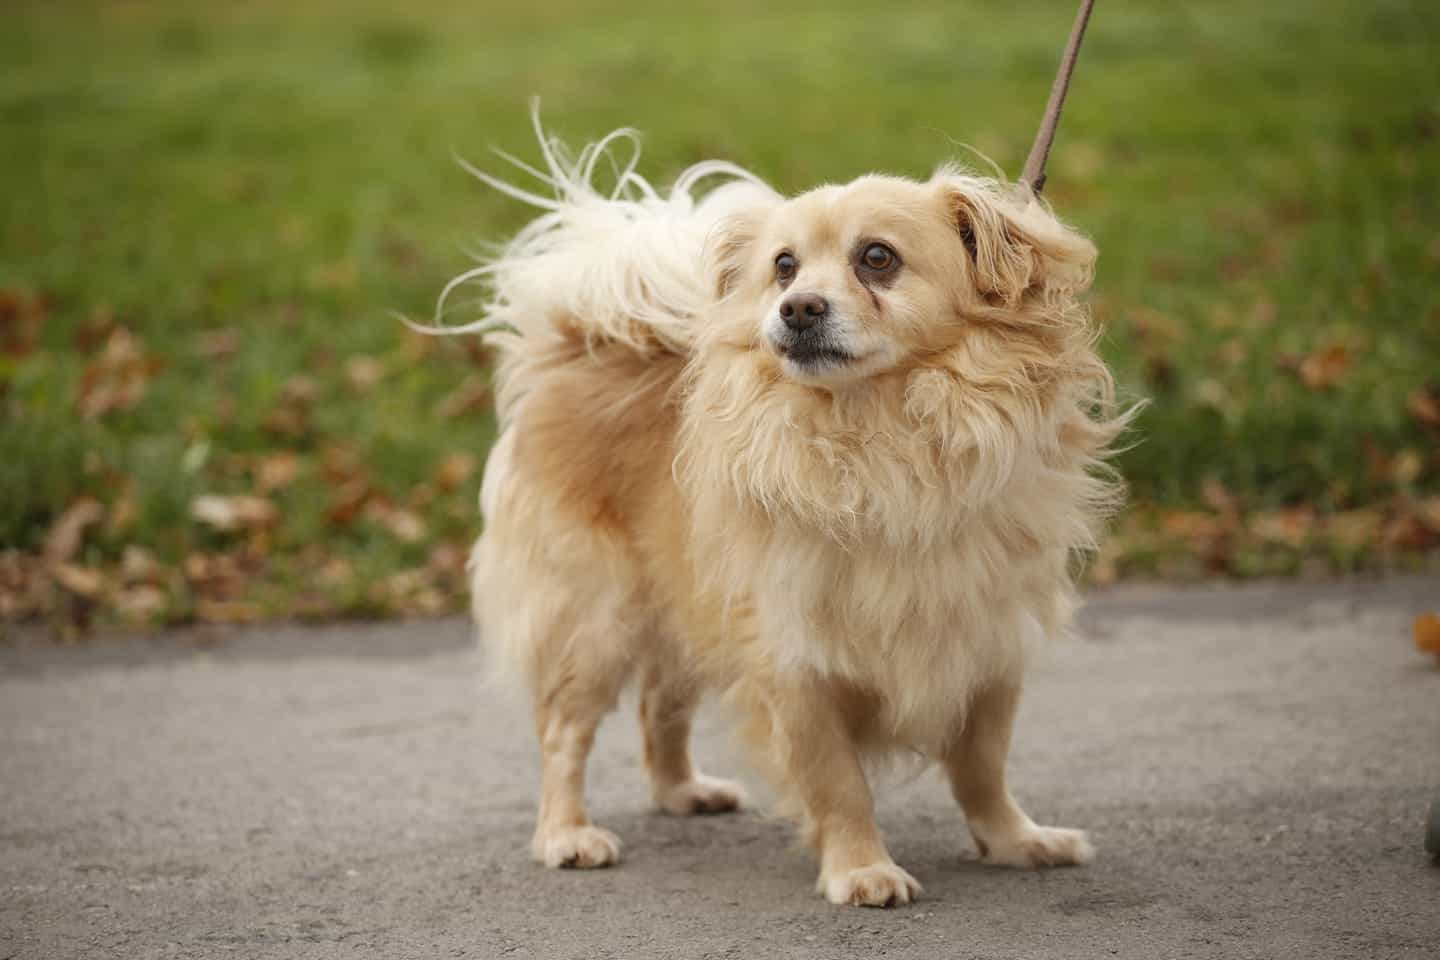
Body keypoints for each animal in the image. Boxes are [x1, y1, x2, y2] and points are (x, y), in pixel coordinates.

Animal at [440, 113, 1128, 907]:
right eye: (785, 268)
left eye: (877, 259)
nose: (796, 308)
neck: (879, 433)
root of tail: (584, 345)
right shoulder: (795, 660)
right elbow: (839, 784)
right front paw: (862, 869)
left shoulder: (985, 648)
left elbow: (983, 767)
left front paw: (1015, 841)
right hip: (596, 617)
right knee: (564, 733)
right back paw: (567, 834)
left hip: (685, 600)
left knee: (659, 703)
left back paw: (681, 792)